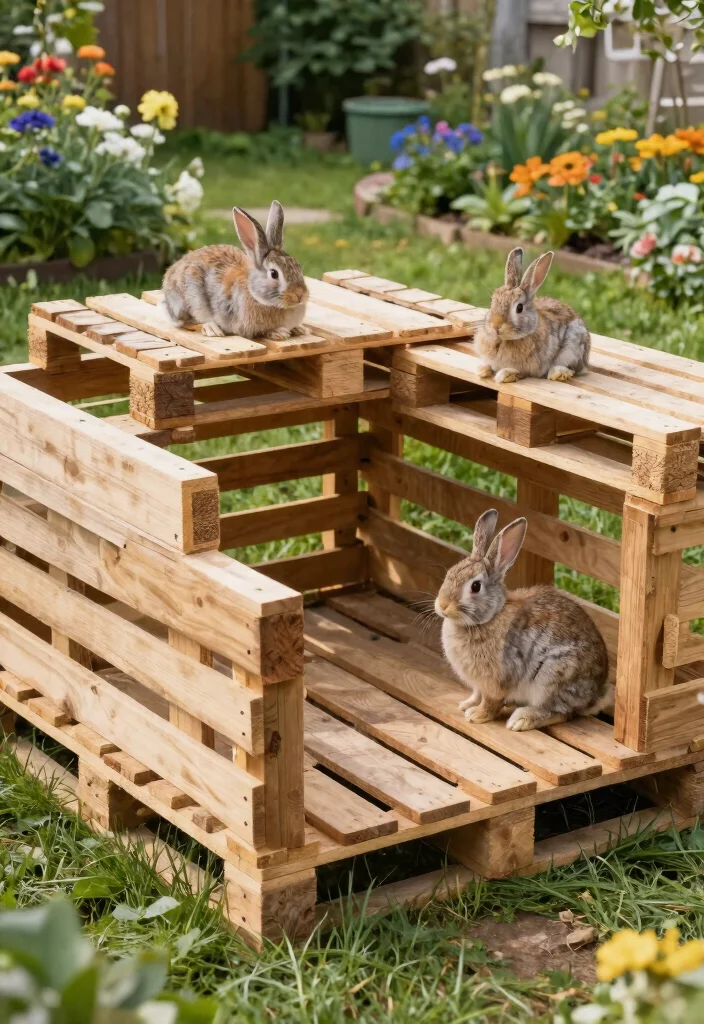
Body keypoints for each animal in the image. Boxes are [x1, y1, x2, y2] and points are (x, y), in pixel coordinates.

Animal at [160, 200, 308, 340]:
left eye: (298, 266)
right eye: (274, 273)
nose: (300, 295)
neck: (254, 293)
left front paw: (300, 329)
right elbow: (260, 332)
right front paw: (279, 332)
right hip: (187, 303)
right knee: (186, 322)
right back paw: (211, 328)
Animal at [434, 509, 611, 732]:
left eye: (475, 586)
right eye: (450, 572)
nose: (442, 605)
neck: (488, 618)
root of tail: (594, 696)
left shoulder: (496, 680)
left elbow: (491, 701)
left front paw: (477, 715)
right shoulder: (479, 684)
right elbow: (477, 694)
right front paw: (466, 704)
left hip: (553, 675)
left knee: (561, 712)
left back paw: (522, 719)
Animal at [475, 247, 590, 384]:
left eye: (519, 308)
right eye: (492, 301)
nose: (496, 326)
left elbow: (520, 372)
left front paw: (505, 375)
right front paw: (482, 370)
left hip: (572, 349)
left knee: (573, 369)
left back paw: (558, 373)